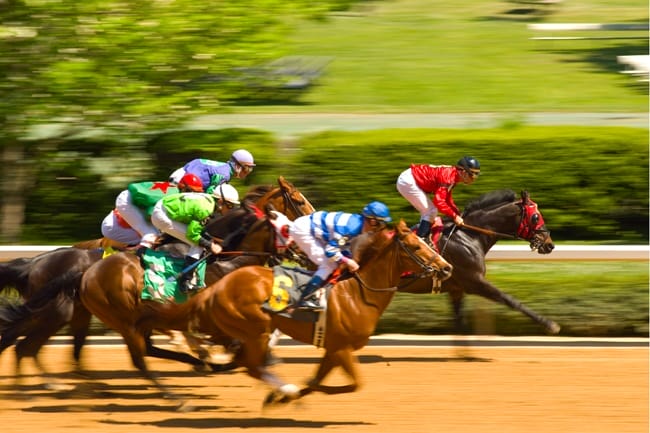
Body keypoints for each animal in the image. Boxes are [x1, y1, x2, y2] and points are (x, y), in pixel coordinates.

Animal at [138, 219, 450, 404]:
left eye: (425, 242)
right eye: (415, 246)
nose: (446, 267)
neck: (358, 295)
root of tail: (220, 285)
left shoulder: (334, 349)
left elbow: (328, 380)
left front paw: (299, 391)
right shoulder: (342, 347)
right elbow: (351, 384)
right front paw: (296, 391)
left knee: (245, 361)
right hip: (255, 328)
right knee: (251, 364)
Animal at [394, 187, 556, 332]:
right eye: (536, 216)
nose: (550, 244)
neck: (469, 235)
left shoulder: (456, 289)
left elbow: (460, 323)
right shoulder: (474, 282)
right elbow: (510, 300)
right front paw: (549, 324)